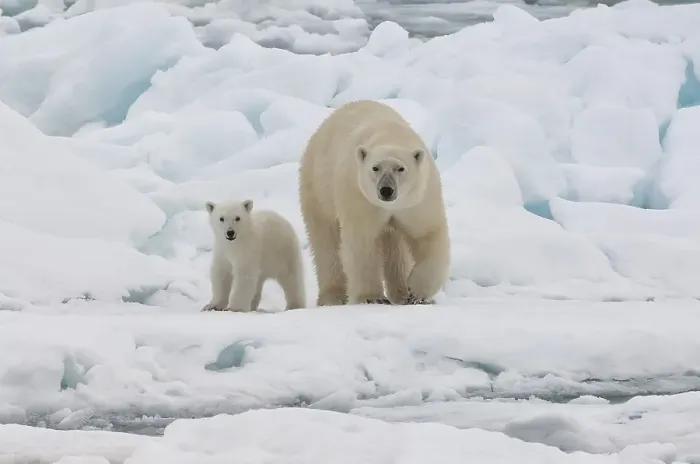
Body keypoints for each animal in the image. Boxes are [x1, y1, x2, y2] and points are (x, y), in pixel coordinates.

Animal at [298, 100, 450, 307]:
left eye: (400, 168)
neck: (391, 134)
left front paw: (416, 294)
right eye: (375, 168)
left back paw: (401, 294)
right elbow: (362, 241)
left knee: (396, 248)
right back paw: (333, 297)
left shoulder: (418, 201)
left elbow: (428, 234)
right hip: (318, 189)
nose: (386, 190)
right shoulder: (359, 196)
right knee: (326, 241)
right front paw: (371, 298)